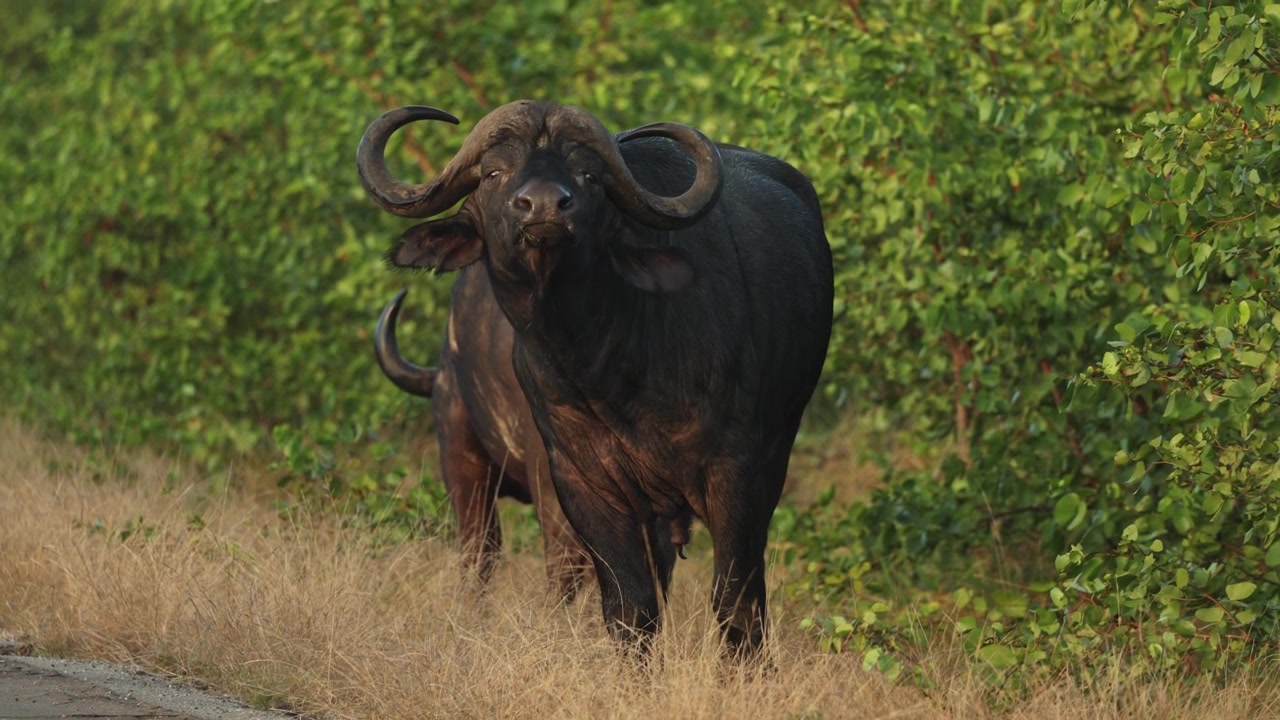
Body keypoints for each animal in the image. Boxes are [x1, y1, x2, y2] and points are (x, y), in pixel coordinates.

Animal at [359, 100, 833, 657]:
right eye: (494, 173)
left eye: (589, 176)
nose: (543, 207)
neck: (610, 368)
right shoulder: (577, 479)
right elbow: (628, 605)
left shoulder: (737, 470)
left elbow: (735, 596)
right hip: (469, 460)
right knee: (485, 554)